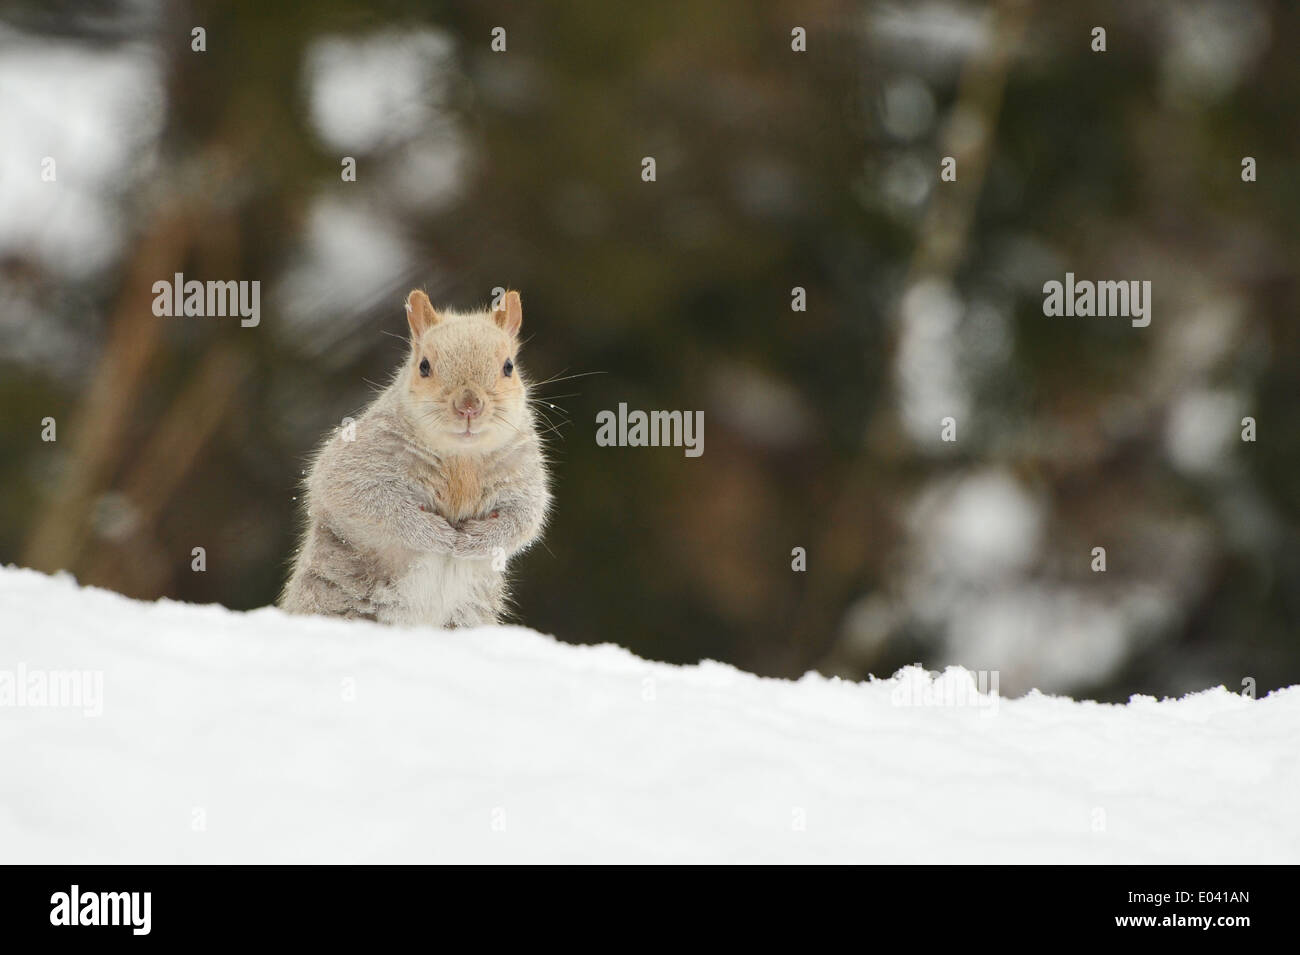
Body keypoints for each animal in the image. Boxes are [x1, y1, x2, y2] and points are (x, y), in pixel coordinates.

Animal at [279, 289, 551, 628]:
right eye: (424, 366)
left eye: (509, 366)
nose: (469, 406)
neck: (461, 459)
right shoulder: (355, 463)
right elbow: (368, 502)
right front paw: (436, 535)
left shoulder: (523, 475)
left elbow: (524, 519)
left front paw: (475, 540)